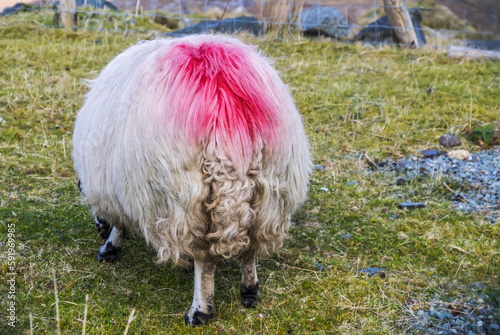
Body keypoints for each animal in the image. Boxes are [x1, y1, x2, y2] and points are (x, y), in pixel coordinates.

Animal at [72, 34, 310, 326]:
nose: (99, 229)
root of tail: (223, 100)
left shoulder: (116, 190)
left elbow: (118, 223)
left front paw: (109, 248)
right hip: (272, 192)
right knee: (252, 246)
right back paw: (249, 291)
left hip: (184, 197)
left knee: (205, 259)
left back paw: (199, 311)